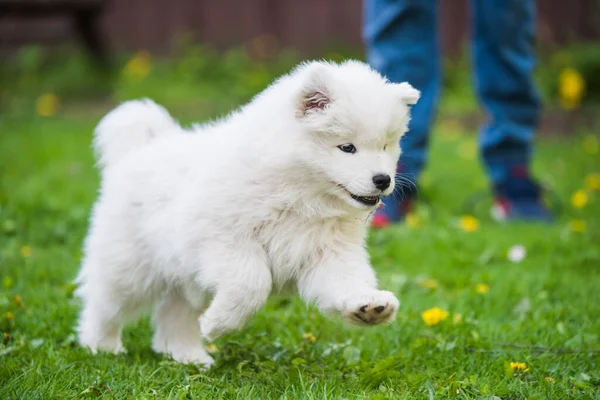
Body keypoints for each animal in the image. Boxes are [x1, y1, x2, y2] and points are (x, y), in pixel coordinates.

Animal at [75, 57, 420, 368]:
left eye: (386, 146)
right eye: (347, 148)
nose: (383, 180)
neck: (300, 196)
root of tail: (141, 149)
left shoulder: (328, 251)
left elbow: (347, 281)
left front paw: (369, 306)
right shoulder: (223, 240)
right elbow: (251, 282)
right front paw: (219, 325)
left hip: (184, 278)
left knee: (174, 314)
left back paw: (187, 356)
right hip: (129, 266)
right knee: (104, 305)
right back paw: (101, 347)